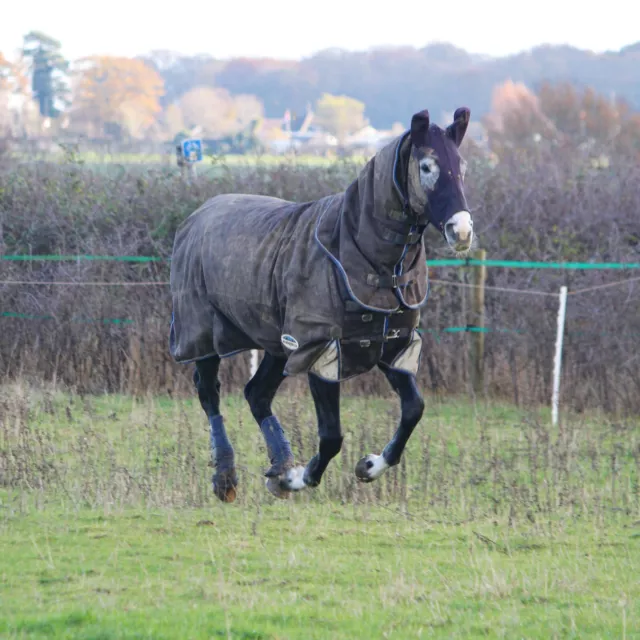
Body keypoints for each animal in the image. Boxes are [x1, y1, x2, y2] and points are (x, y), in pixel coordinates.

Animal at [170, 107, 476, 502]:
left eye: (462, 166)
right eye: (426, 166)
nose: (462, 230)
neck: (361, 255)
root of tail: (198, 215)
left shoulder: (393, 346)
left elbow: (413, 410)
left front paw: (368, 466)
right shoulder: (320, 349)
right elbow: (331, 436)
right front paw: (300, 477)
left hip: (278, 345)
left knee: (257, 395)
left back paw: (279, 468)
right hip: (203, 332)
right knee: (209, 394)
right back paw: (227, 478)